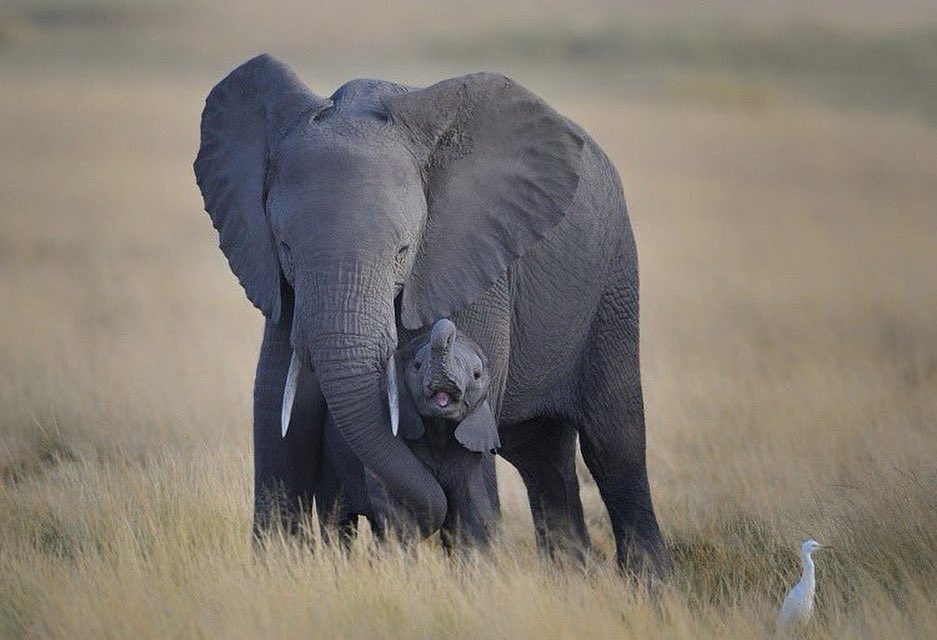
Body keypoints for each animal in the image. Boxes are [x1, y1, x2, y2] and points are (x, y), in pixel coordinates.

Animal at [315, 318, 500, 549]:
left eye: (477, 375)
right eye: (417, 366)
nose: (447, 325)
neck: (438, 425)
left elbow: (473, 506)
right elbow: (395, 508)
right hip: (330, 459)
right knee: (337, 518)